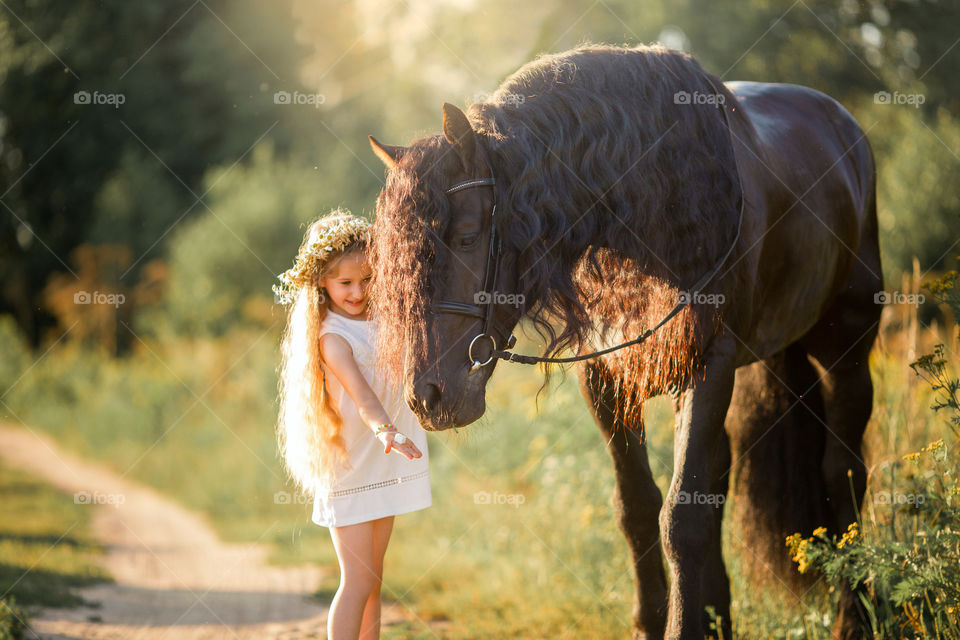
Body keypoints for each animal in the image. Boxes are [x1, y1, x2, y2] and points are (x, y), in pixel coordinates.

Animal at [364, 42, 880, 636]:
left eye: (468, 237)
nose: (429, 398)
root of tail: (843, 126)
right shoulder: (605, 376)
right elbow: (637, 507)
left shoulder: (710, 364)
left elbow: (681, 517)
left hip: (847, 353)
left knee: (842, 474)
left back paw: (854, 619)